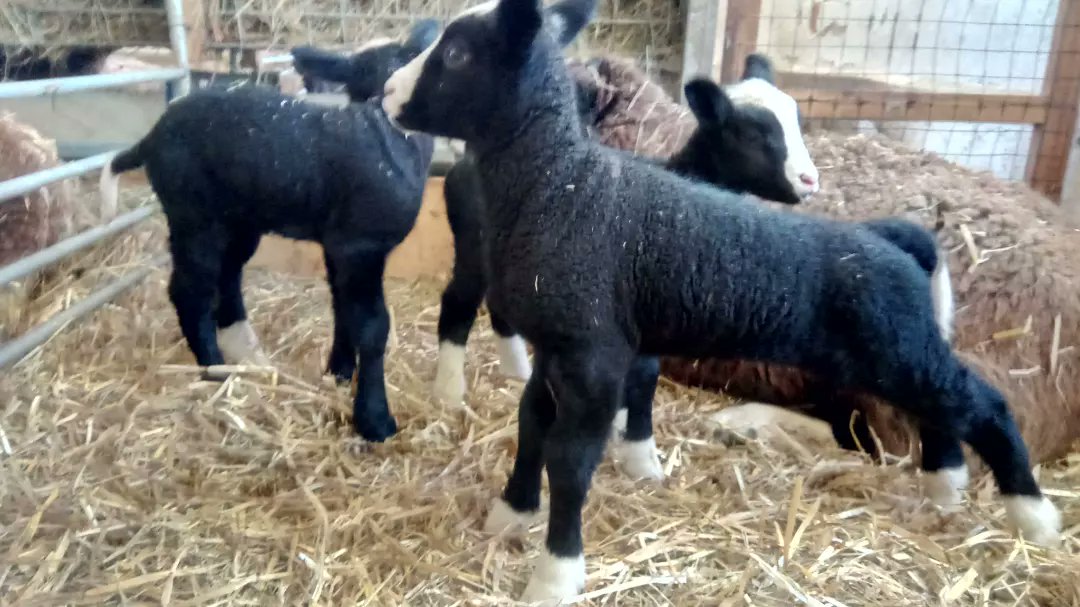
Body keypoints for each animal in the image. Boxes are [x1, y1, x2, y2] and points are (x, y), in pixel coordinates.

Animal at [97, 19, 441, 443]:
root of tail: (150, 137)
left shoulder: (339, 245)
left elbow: (342, 308)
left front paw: (339, 372)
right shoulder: (361, 245)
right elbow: (373, 326)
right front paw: (374, 418)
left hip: (236, 219)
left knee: (226, 278)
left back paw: (245, 353)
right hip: (194, 214)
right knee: (191, 290)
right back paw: (214, 368)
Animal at [381, 0, 1061, 600]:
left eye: (458, 55)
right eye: (756, 132)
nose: (387, 94)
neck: (562, 184)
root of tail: (892, 241)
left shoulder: (594, 355)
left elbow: (571, 462)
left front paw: (555, 575)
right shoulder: (561, 349)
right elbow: (530, 425)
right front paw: (512, 514)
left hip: (895, 346)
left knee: (985, 405)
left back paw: (1034, 518)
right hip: (895, 352)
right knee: (942, 406)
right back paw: (945, 490)